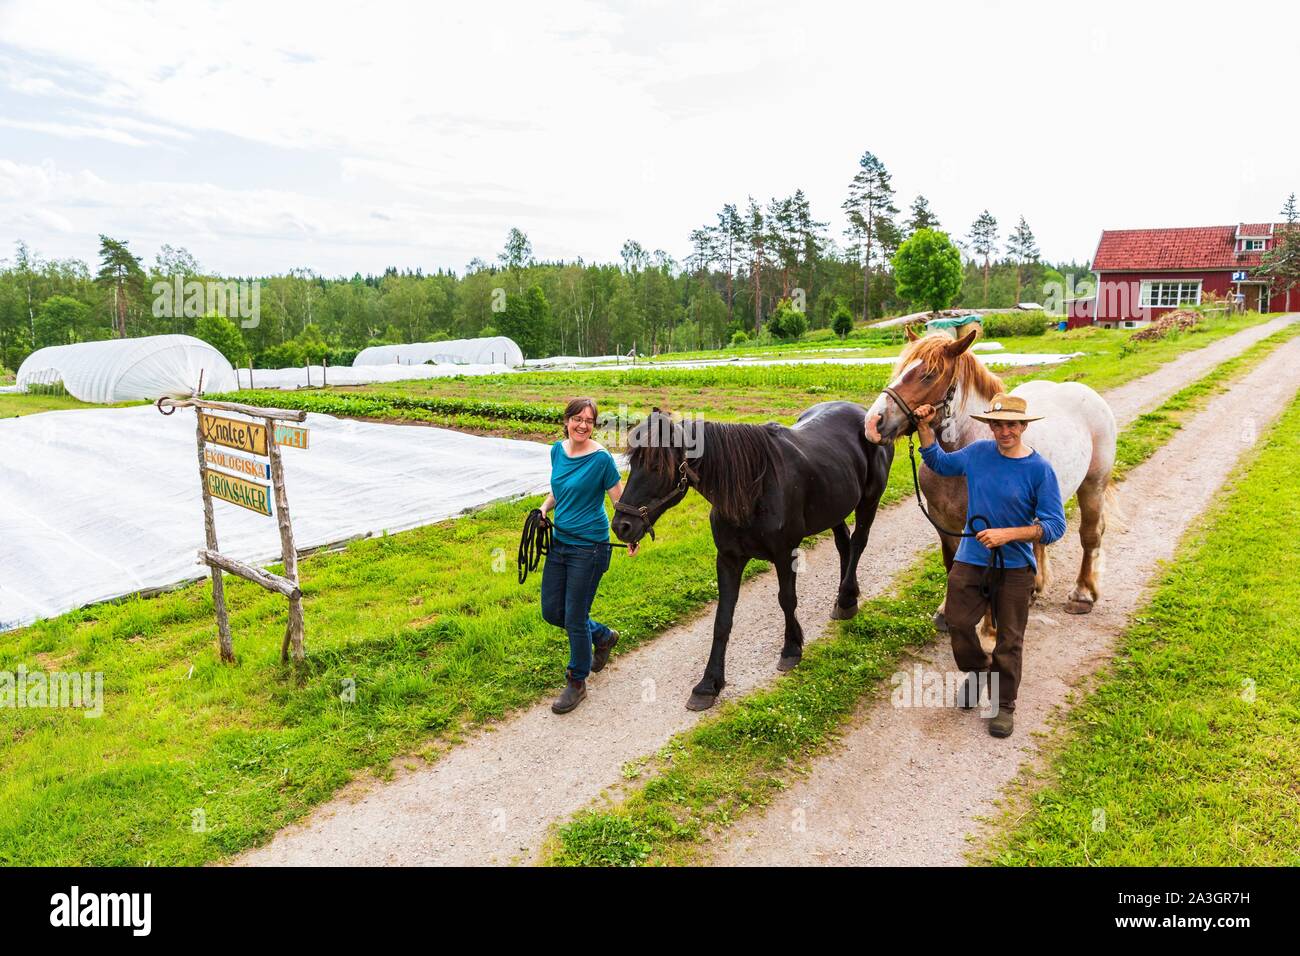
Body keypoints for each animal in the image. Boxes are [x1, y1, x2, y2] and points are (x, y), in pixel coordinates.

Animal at [612, 402, 894, 711]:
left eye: (656, 466)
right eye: (632, 464)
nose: (621, 526)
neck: (752, 490)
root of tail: (863, 412)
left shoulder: (785, 554)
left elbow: (787, 600)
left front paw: (791, 649)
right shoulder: (728, 560)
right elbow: (722, 620)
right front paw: (709, 684)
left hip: (869, 501)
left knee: (858, 544)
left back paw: (845, 599)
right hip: (834, 507)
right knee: (844, 545)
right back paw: (846, 597)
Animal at [864, 327, 1121, 630]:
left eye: (929, 374)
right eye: (901, 369)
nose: (873, 423)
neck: (960, 455)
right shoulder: (942, 521)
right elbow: (951, 562)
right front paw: (947, 611)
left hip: (1093, 486)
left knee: (1090, 535)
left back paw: (1082, 594)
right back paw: (1034, 588)